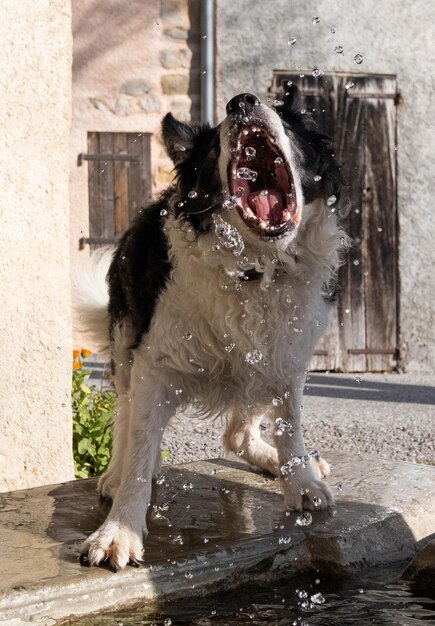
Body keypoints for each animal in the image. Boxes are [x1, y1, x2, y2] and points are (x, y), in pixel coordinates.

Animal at [77, 85, 348, 568]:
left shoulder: (287, 356)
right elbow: (140, 446)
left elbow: (289, 425)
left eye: (285, 116)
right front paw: (119, 530)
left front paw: (300, 482)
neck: (255, 268)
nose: (241, 101)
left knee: (238, 432)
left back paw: (279, 459)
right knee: (126, 415)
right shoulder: (154, 364)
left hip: (260, 366)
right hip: (127, 345)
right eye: (217, 134)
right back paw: (113, 475)